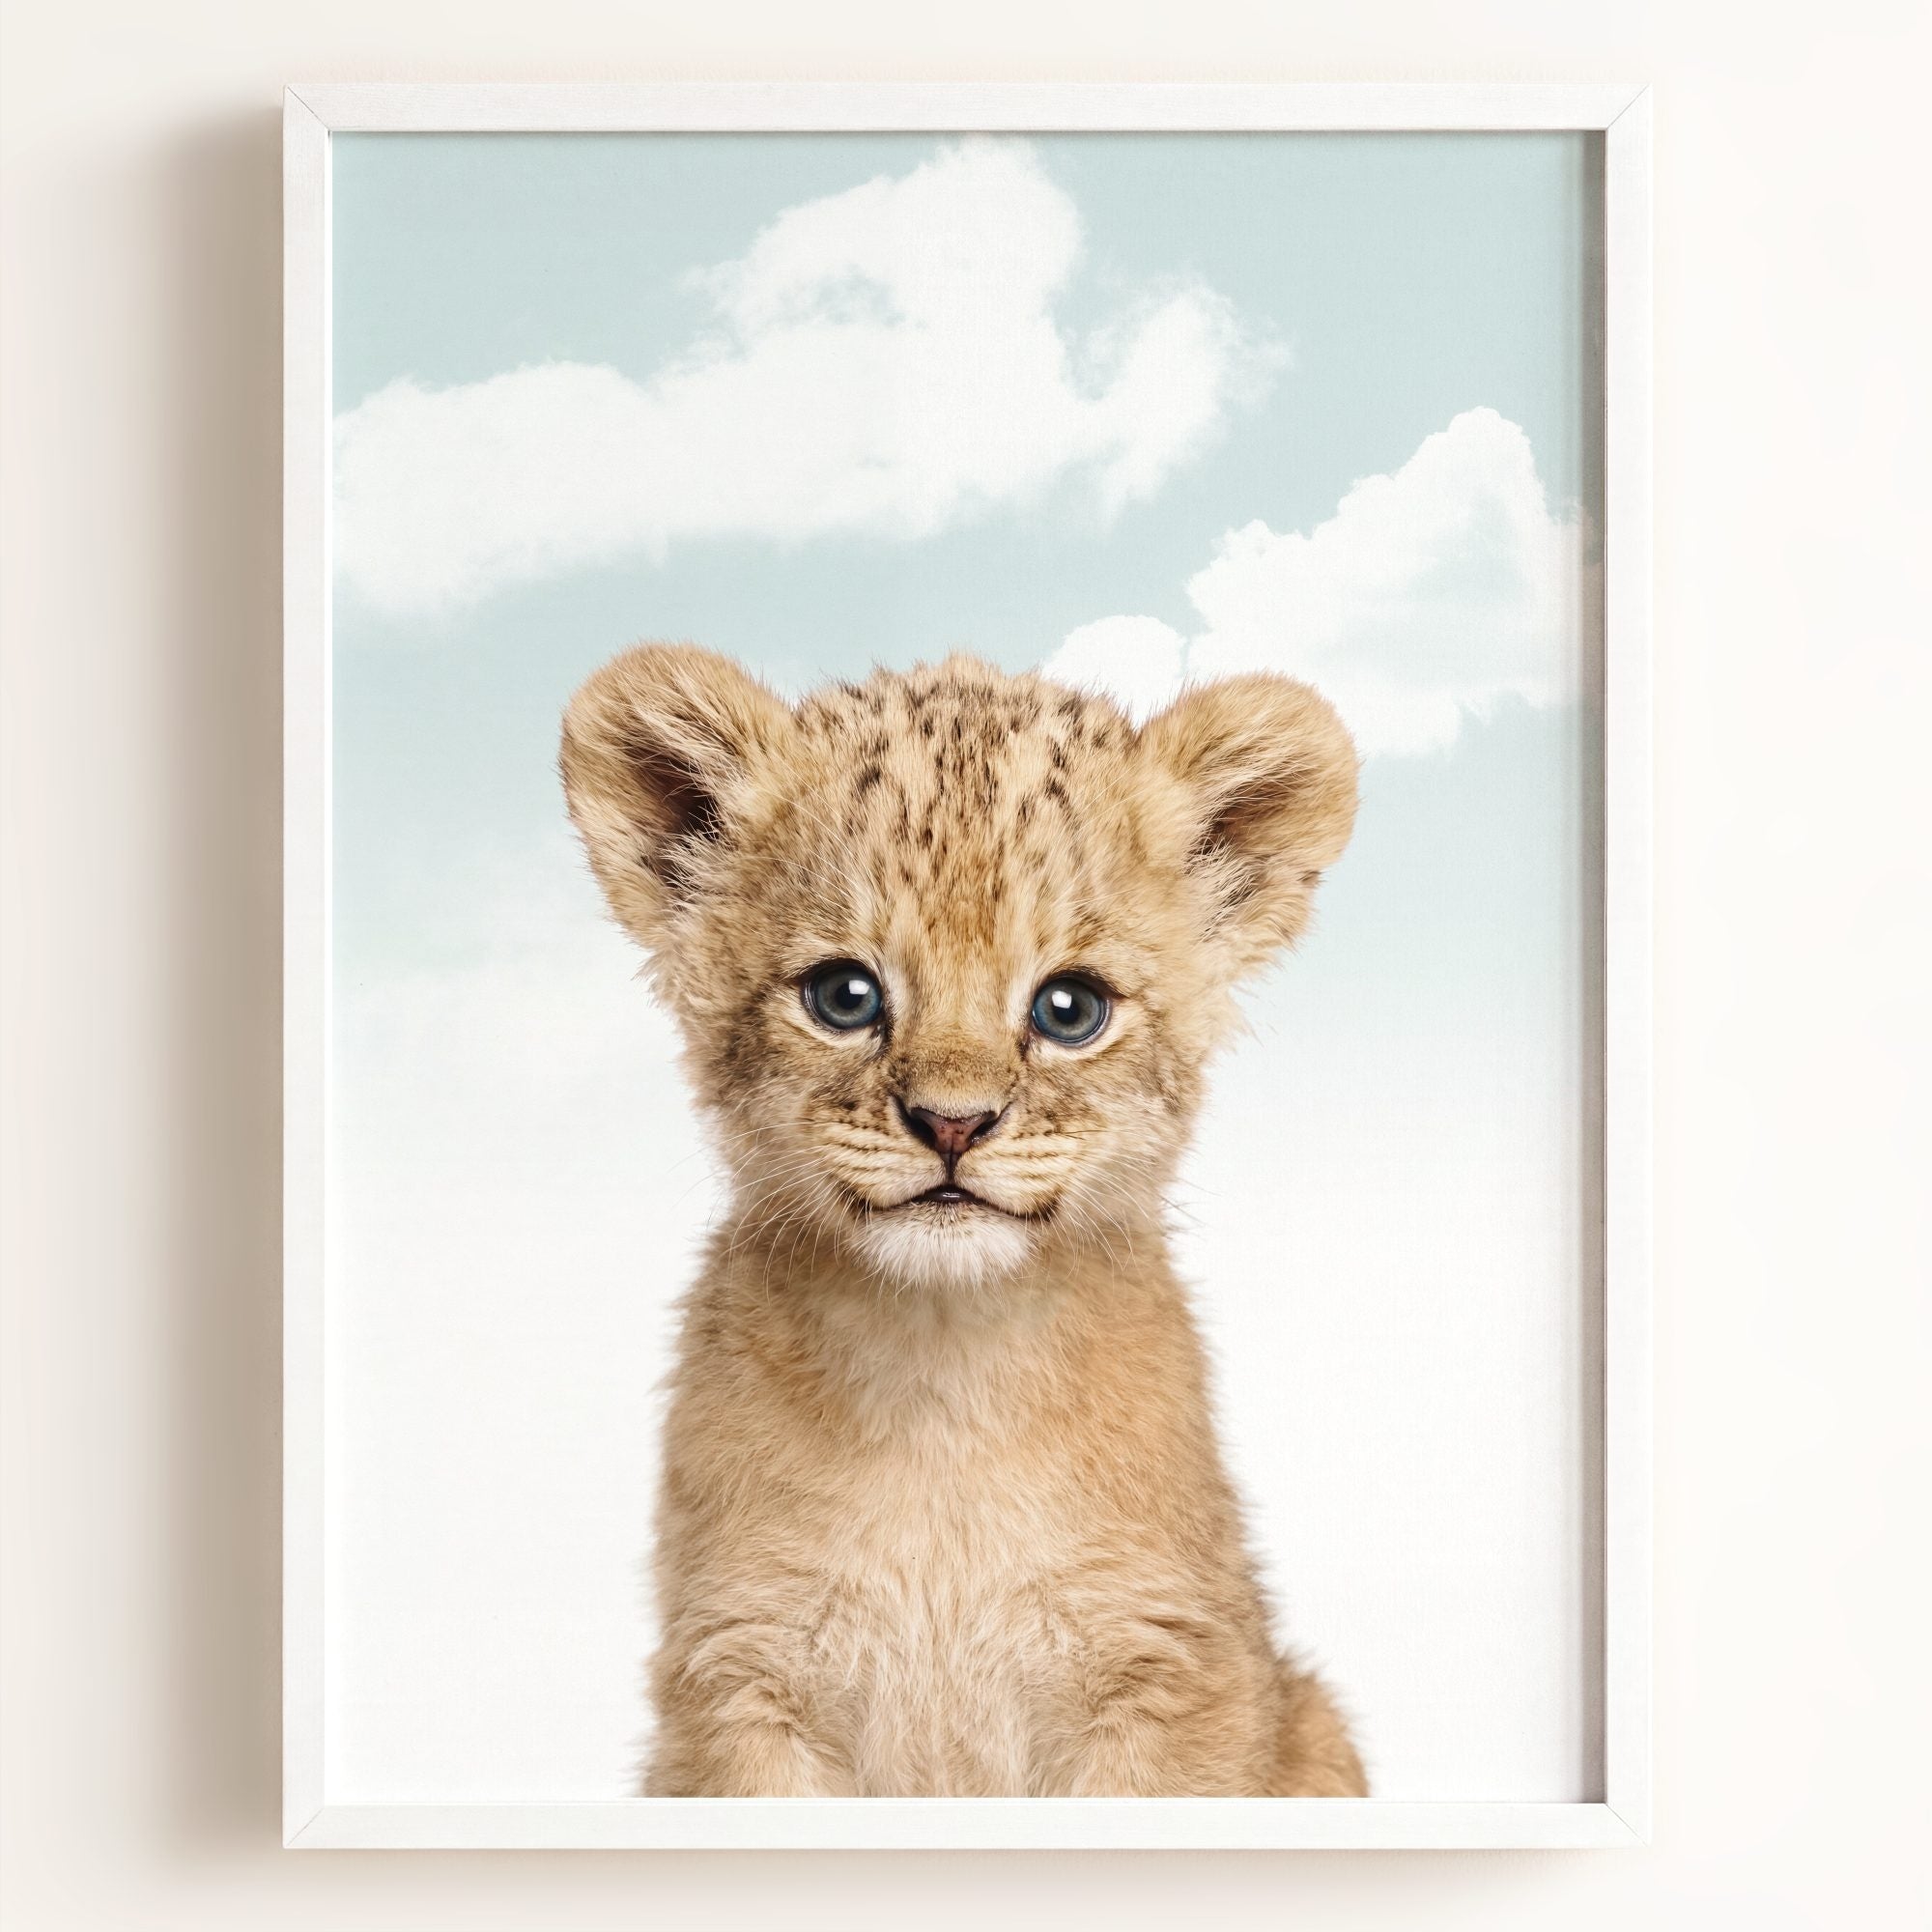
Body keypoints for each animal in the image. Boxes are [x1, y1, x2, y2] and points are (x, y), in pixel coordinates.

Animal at [561, 644, 1365, 1797]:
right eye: (843, 995)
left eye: (1069, 1008)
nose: (952, 1122)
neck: (942, 1377)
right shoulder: (740, 1677)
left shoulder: (1167, 1670)